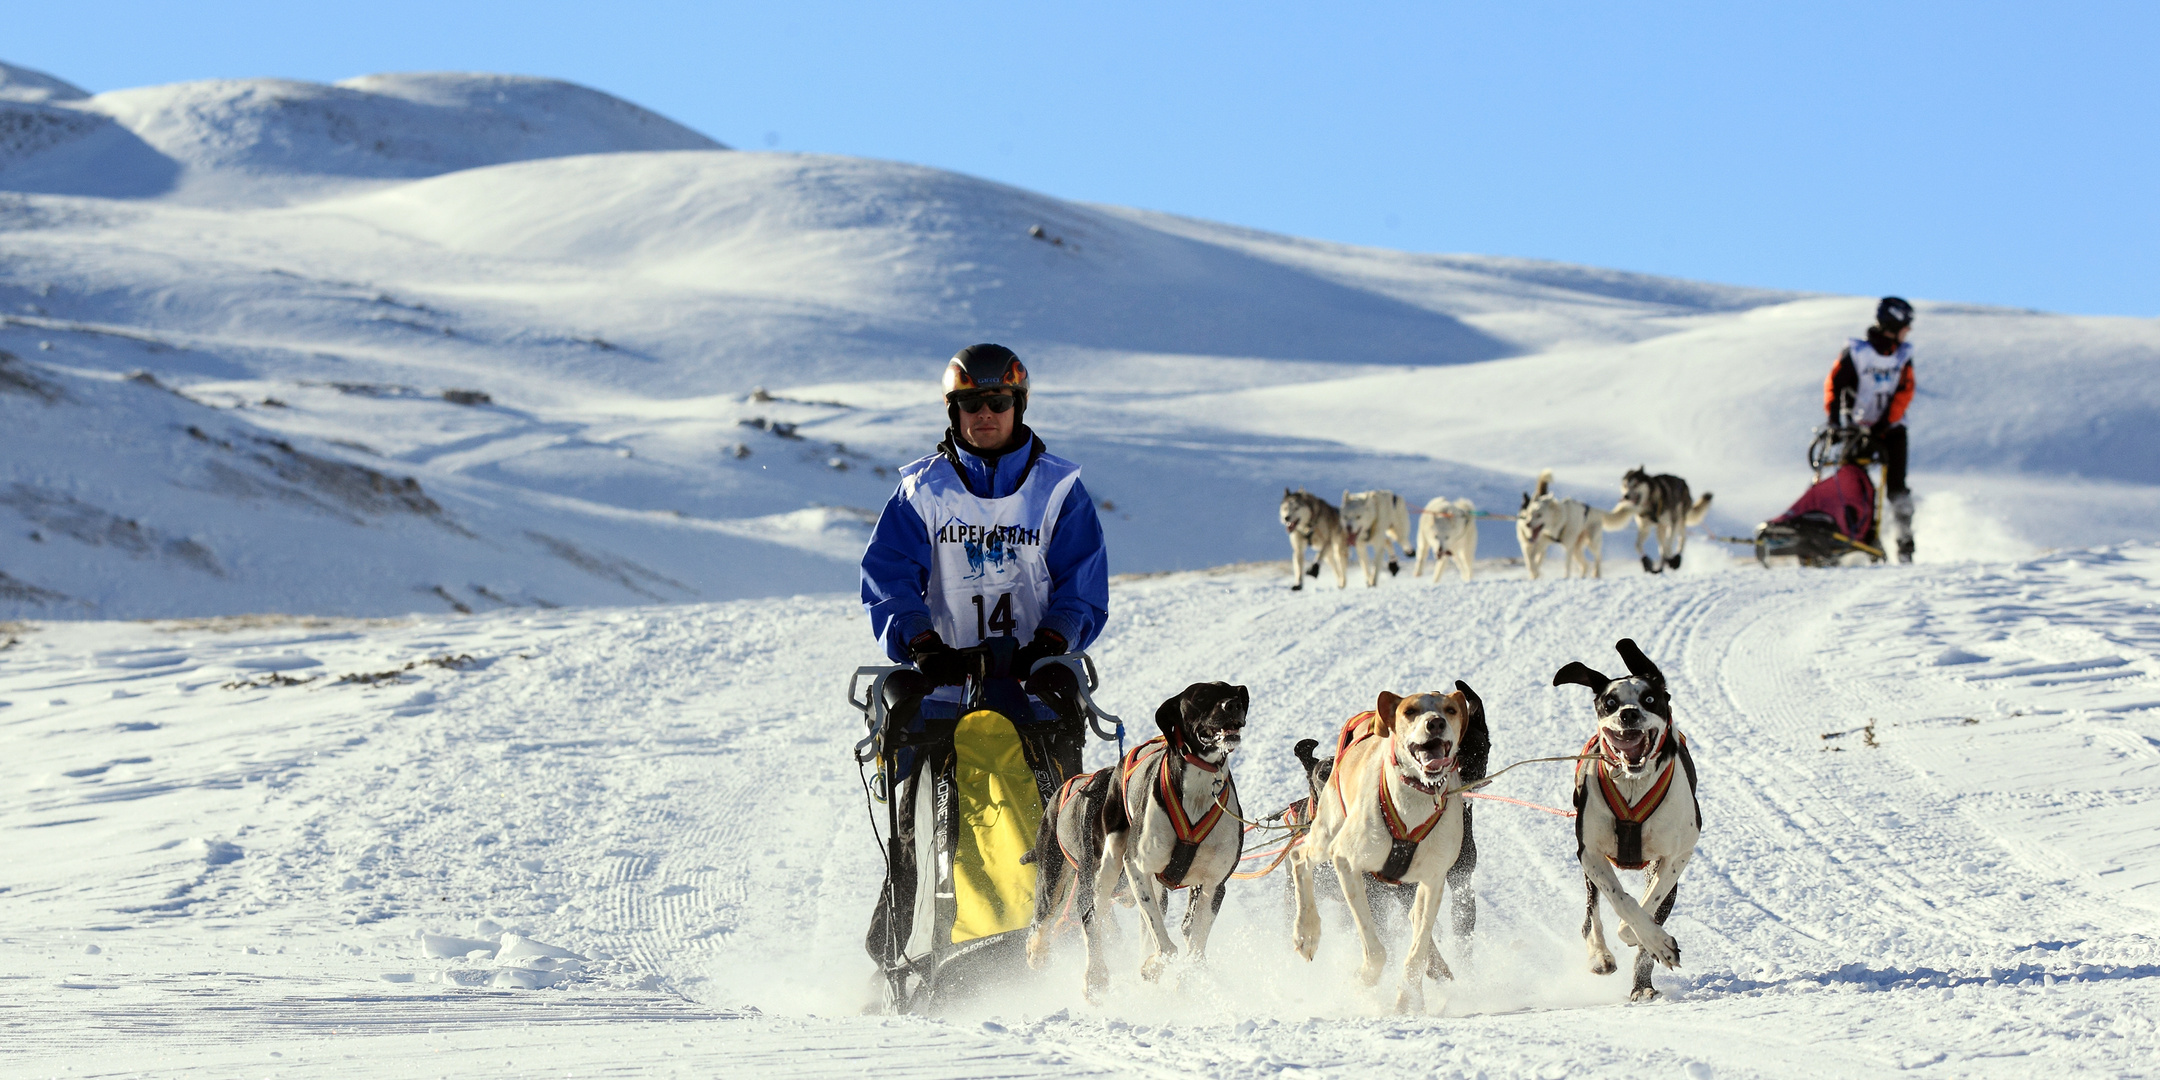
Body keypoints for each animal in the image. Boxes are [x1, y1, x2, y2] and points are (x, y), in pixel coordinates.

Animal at [1028, 678, 1252, 997]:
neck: (1198, 791)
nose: (1232, 704)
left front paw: (1185, 979)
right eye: (1200, 697)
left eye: (1232, 691)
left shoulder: (1213, 885)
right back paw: (1092, 974)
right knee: (1088, 917)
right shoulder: (1136, 866)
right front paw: (1153, 967)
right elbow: (1167, 947)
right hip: (1100, 869)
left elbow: (1193, 946)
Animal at [1278, 682, 1486, 1010]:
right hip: (1326, 836)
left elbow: (1417, 949)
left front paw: (1409, 999)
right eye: (1410, 711)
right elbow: (1376, 949)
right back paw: (1306, 931)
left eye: (1451, 711)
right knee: (1300, 857)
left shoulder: (1434, 880)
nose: (1435, 723)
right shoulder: (1349, 866)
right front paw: (1363, 980)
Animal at [1555, 635, 1702, 997]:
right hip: (1589, 871)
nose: (1629, 713)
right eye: (1610, 702)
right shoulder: (1590, 853)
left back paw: (1643, 982)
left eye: (1650, 699)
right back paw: (1600, 955)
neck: (1634, 784)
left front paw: (1651, 940)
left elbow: (1647, 906)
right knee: (1591, 915)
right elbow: (1622, 900)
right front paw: (1642, 937)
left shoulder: (1677, 855)